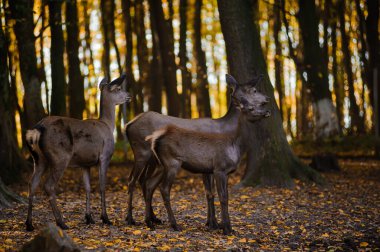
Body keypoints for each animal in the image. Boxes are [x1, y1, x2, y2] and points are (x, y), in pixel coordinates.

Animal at [25, 74, 131, 230]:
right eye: (118, 88)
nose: (129, 95)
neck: (107, 124)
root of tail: (37, 129)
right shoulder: (105, 156)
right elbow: (102, 186)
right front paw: (105, 218)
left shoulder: (85, 163)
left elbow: (87, 188)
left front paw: (89, 218)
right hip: (60, 156)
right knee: (49, 185)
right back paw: (61, 222)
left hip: (38, 159)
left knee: (32, 184)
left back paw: (29, 224)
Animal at [126, 73, 266, 230]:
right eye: (254, 90)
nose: (267, 99)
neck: (226, 129)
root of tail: (128, 125)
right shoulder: (212, 165)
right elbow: (212, 193)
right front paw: (215, 223)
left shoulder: (207, 167)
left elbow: (209, 193)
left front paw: (212, 223)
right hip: (142, 153)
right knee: (132, 181)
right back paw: (131, 218)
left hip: (154, 161)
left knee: (144, 181)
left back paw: (153, 218)